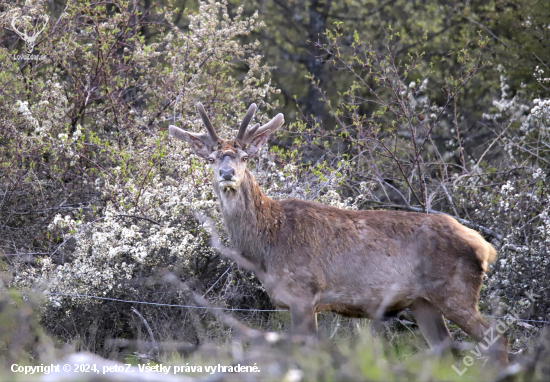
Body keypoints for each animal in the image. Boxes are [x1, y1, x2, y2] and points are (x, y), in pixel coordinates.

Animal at [168, 103, 508, 366]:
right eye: (212, 158)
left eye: (245, 157)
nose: (227, 173)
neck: (266, 246)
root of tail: (484, 246)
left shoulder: (303, 292)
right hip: (423, 302)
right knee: (445, 348)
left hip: (456, 290)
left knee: (497, 339)